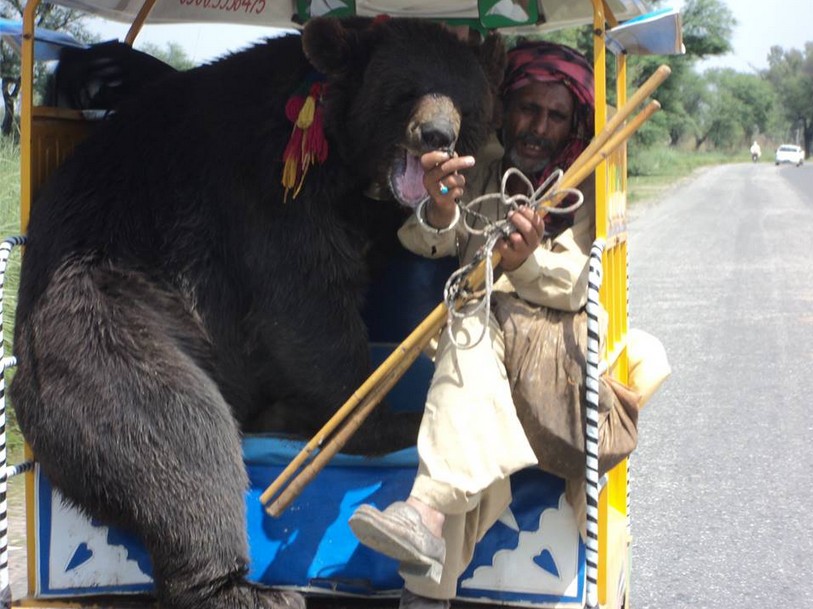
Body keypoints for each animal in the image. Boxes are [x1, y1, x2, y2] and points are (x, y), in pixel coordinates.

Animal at [10, 16, 505, 609]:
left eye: (464, 102)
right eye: (405, 91)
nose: (436, 135)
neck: (346, 155)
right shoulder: (266, 190)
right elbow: (304, 300)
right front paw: (378, 419)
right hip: (107, 317)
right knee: (171, 430)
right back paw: (247, 587)